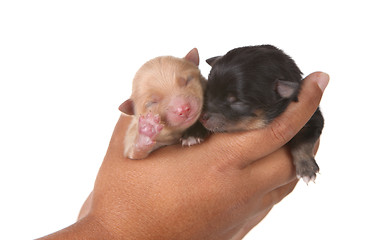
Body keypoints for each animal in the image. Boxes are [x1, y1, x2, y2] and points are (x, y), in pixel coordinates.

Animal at [200, 45, 324, 184]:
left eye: (237, 102)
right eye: (207, 92)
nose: (202, 117)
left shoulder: (313, 120)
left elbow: (303, 142)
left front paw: (306, 168)